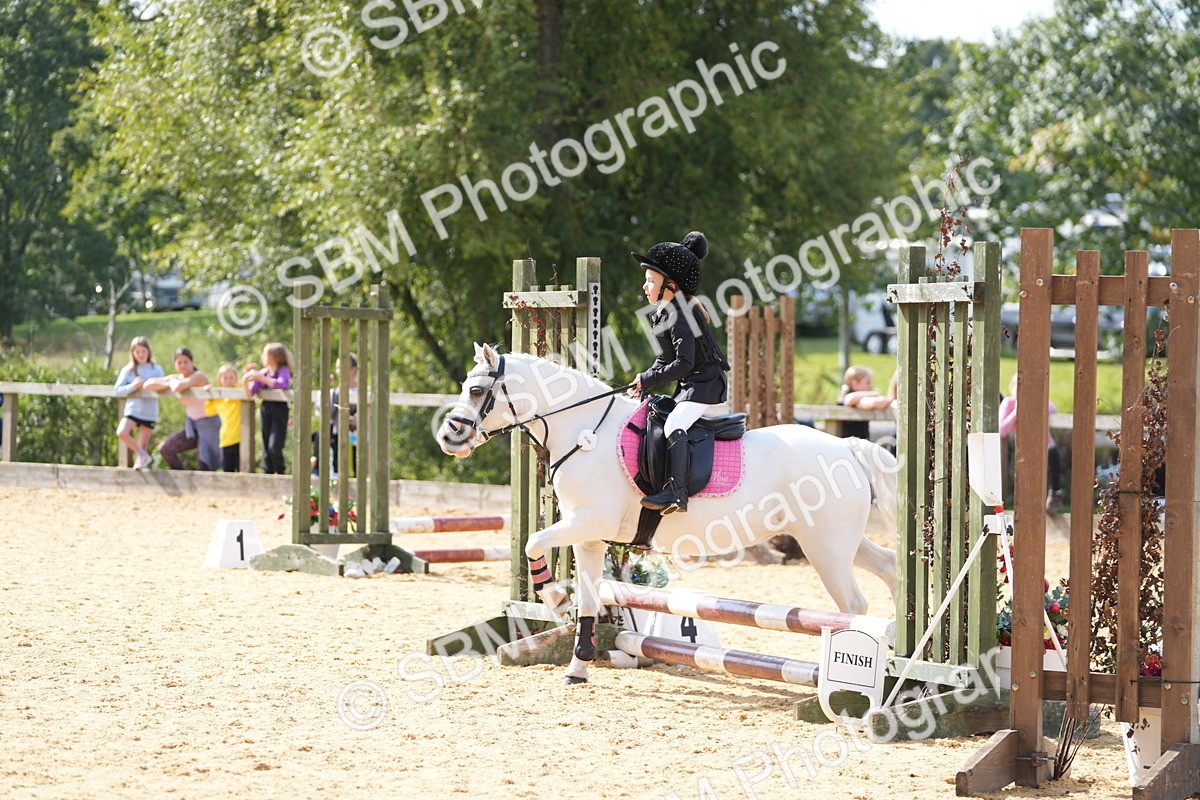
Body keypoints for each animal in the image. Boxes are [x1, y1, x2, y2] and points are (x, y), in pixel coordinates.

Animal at [436, 343, 898, 685]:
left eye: (475, 392)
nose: (448, 436)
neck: (584, 431)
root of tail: (847, 447)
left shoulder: (590, 522)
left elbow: (534, 542)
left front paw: (553, 597)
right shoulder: (587, 536)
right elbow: (589, 598)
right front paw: (578, 665)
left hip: (826, 549)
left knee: (852, 604)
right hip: (839, 542)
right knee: (888, 568)